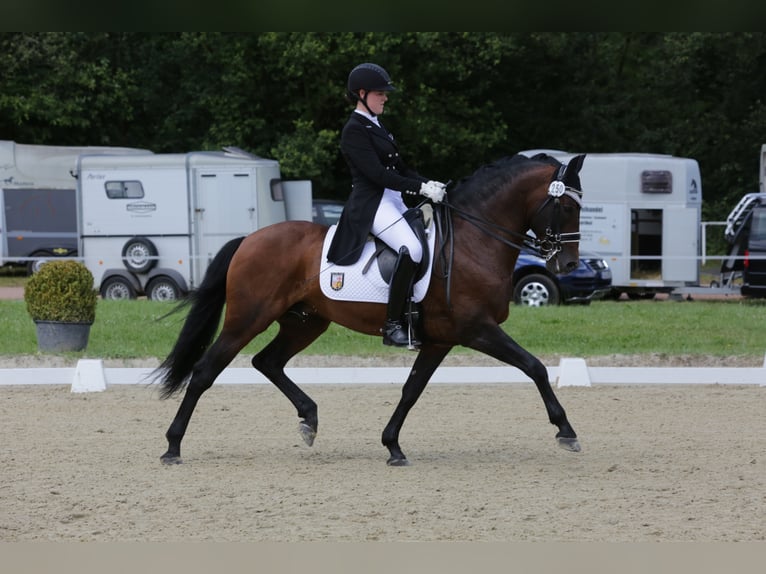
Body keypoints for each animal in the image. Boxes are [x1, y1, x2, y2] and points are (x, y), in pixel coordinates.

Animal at [154, 154, 588, 468]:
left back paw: (309, 419)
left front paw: (392, 446)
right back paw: (172, 447)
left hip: (306, 322)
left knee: (268, 361)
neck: (473, 241)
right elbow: (534, 366)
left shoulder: (440, 340)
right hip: (247, 318)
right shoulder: (476, 329)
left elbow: (412, 390)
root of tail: (248, 240)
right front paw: (566, 431)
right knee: (205, 371)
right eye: (566, 205)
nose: (567, 264)